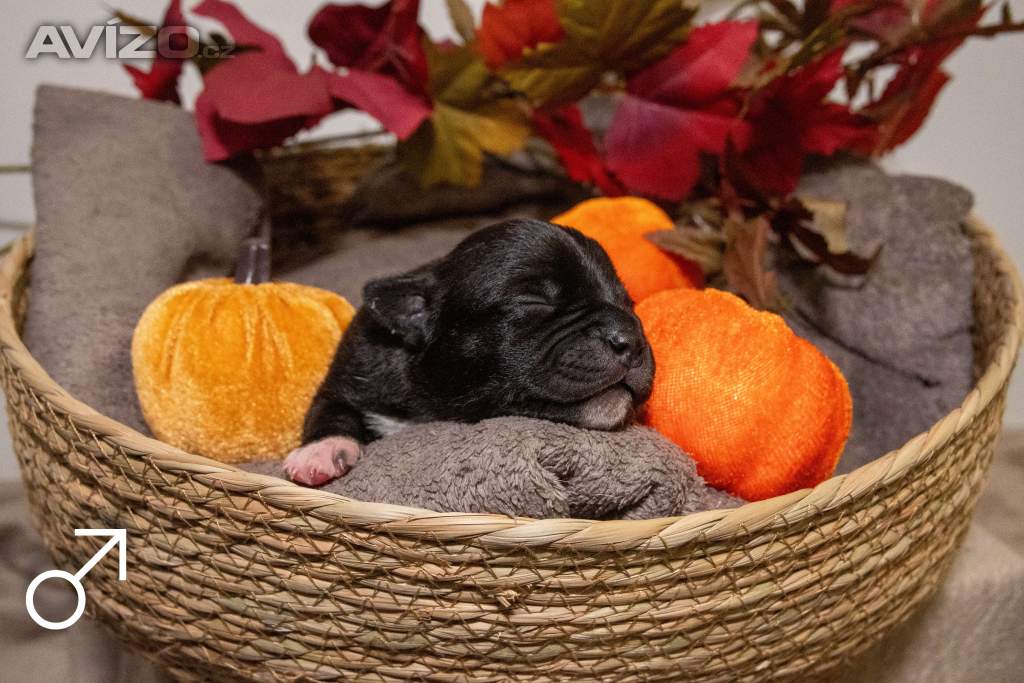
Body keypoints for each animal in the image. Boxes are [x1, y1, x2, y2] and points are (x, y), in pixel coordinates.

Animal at [283, 218, 655, 486]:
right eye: (534, 301)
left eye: (628, 304)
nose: (631, 337)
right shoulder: (350, 370)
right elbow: (329, 409)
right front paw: (320, 451)